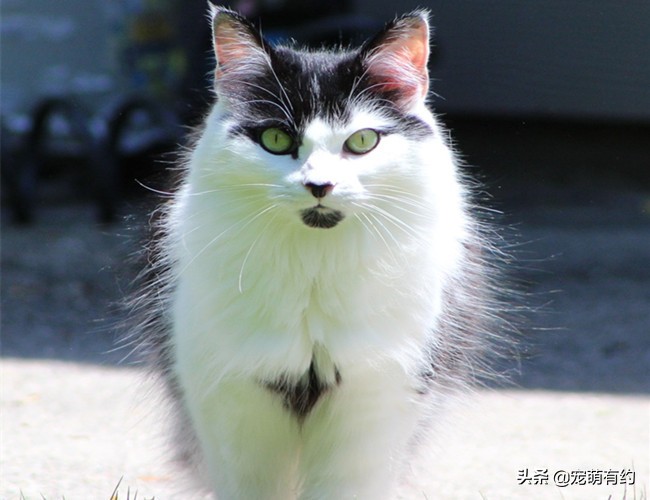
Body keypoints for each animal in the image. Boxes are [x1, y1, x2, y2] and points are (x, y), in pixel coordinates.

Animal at [129, 5, 508, 498]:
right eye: (275, 140)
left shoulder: (376, 397)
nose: (319, 185)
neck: (314, 267)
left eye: (363, 141)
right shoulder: (232, 398)